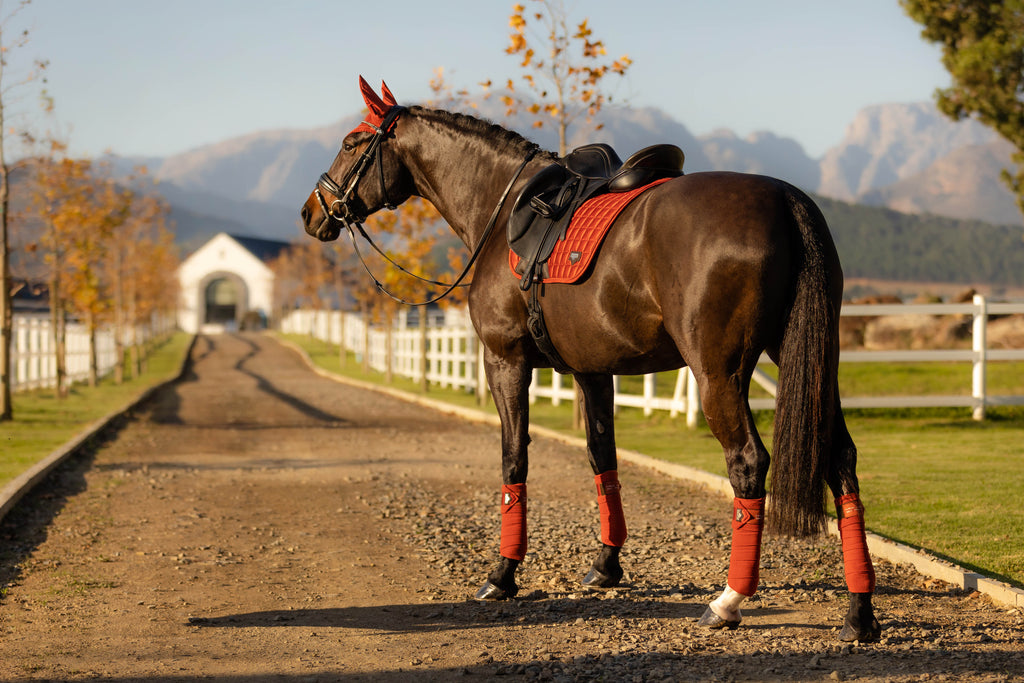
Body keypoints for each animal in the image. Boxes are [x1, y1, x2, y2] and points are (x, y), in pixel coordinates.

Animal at [299, 77, 884, 643]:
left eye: (350, 143)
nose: (310, 212)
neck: (501, 209)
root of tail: (786, 199)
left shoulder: (504, 361)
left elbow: (514, 459)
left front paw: (502, 574)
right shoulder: (593, 370)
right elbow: (602, 457)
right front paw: (607, 566)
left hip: (720, 373)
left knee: (747, 463)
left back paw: (729, 600)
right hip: (809, 363)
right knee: (841, 459)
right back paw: (859, 612)